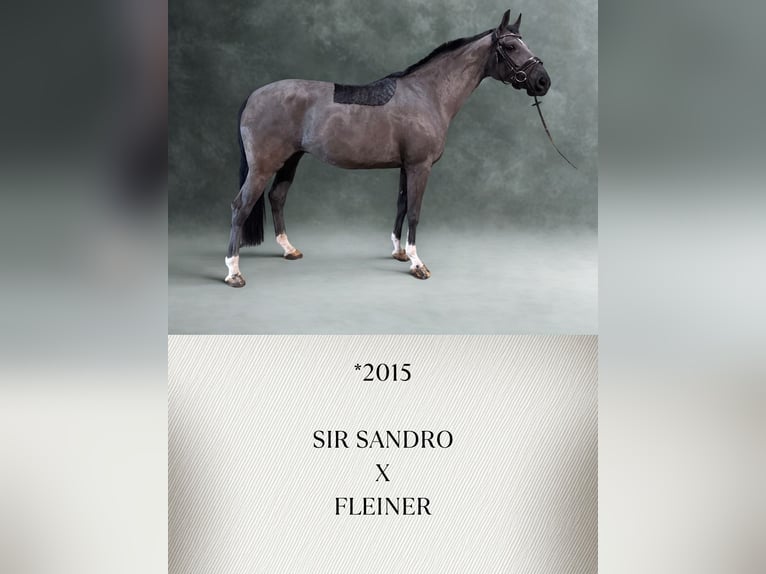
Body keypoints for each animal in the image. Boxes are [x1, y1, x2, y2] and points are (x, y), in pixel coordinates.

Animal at [225, 10, 551, 287]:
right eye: (510, 46)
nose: (543, 82)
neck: (427, 94)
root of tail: (253, 96)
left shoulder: (406, 167)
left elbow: (401, 205)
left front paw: (399, 252)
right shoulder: (420, 166)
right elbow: (415, 212)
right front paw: (418, 264)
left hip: (291, 160)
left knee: (277, 197)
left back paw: (289, 249)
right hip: (263, 166)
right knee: (241, 206)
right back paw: (233, 271)